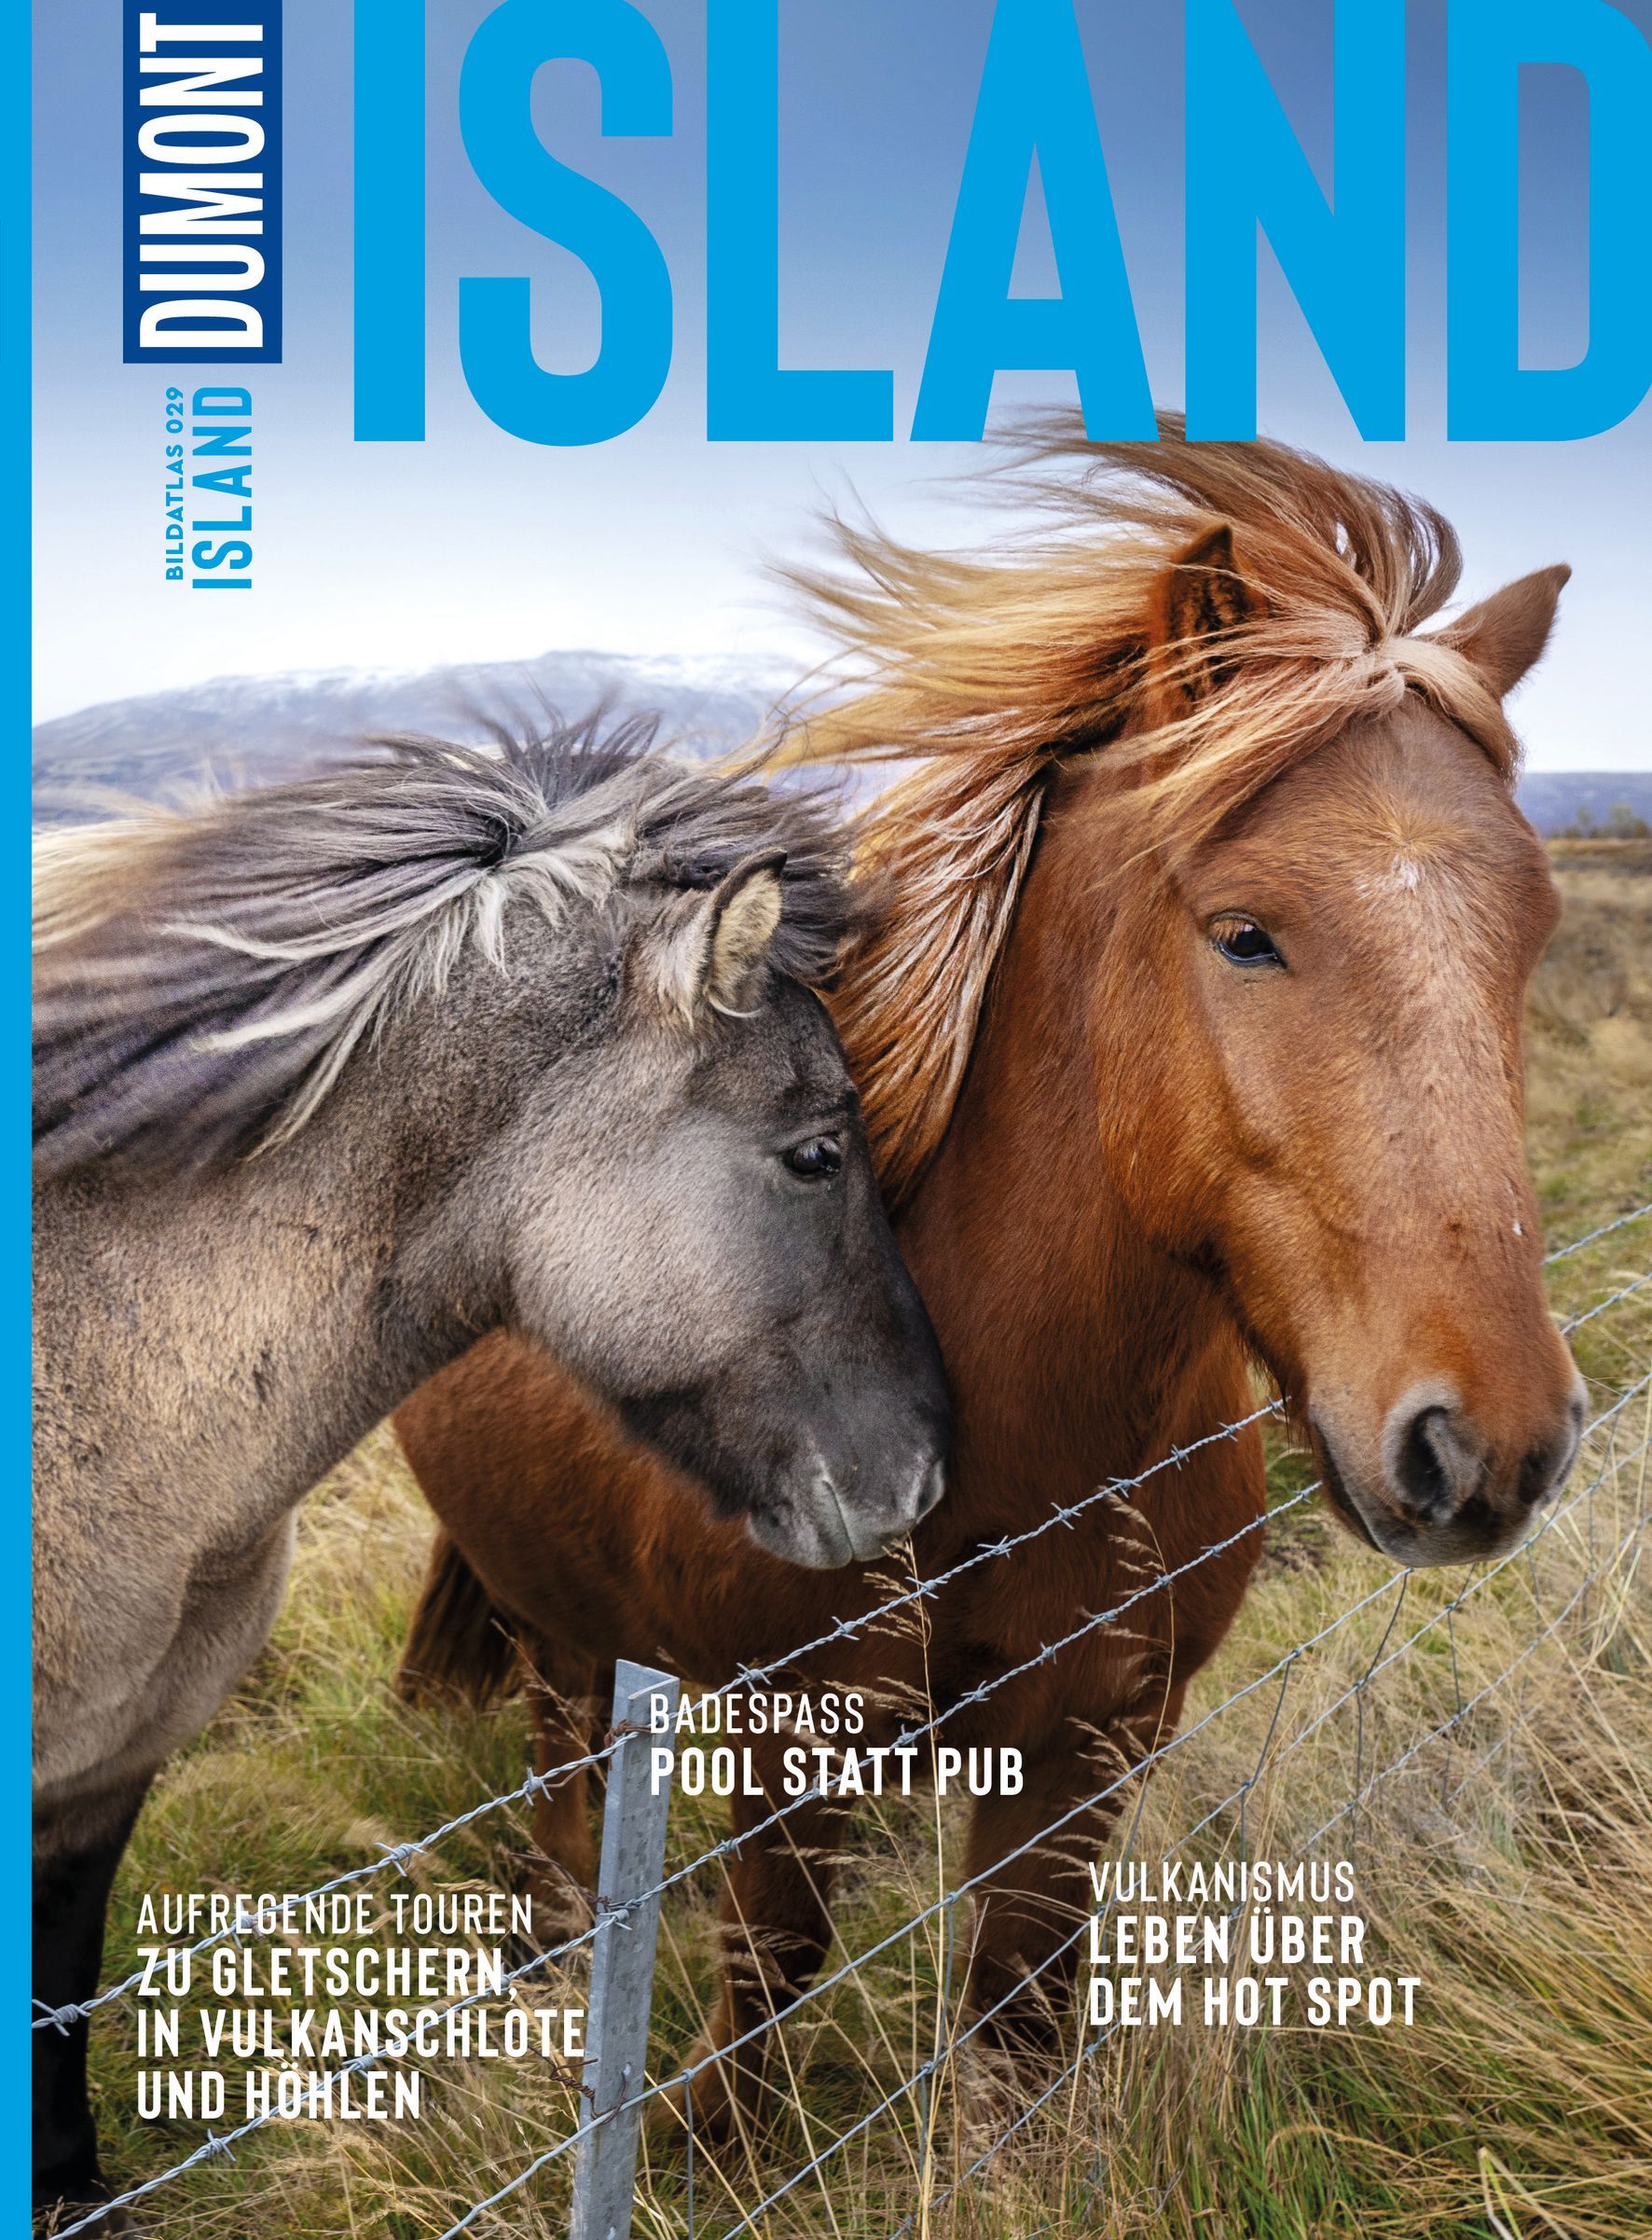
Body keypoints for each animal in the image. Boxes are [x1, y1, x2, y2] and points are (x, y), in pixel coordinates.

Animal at [393, 423, 1588, 2140]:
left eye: (1534, 930)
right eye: (1245, 933)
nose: (1488, 1443)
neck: (1018, 1442)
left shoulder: (1093, 1743)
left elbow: (1019, 2025)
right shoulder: (791, 1741)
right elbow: (767, 1976)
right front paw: (706, 2139)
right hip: (547, 1613)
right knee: (566, 1795)